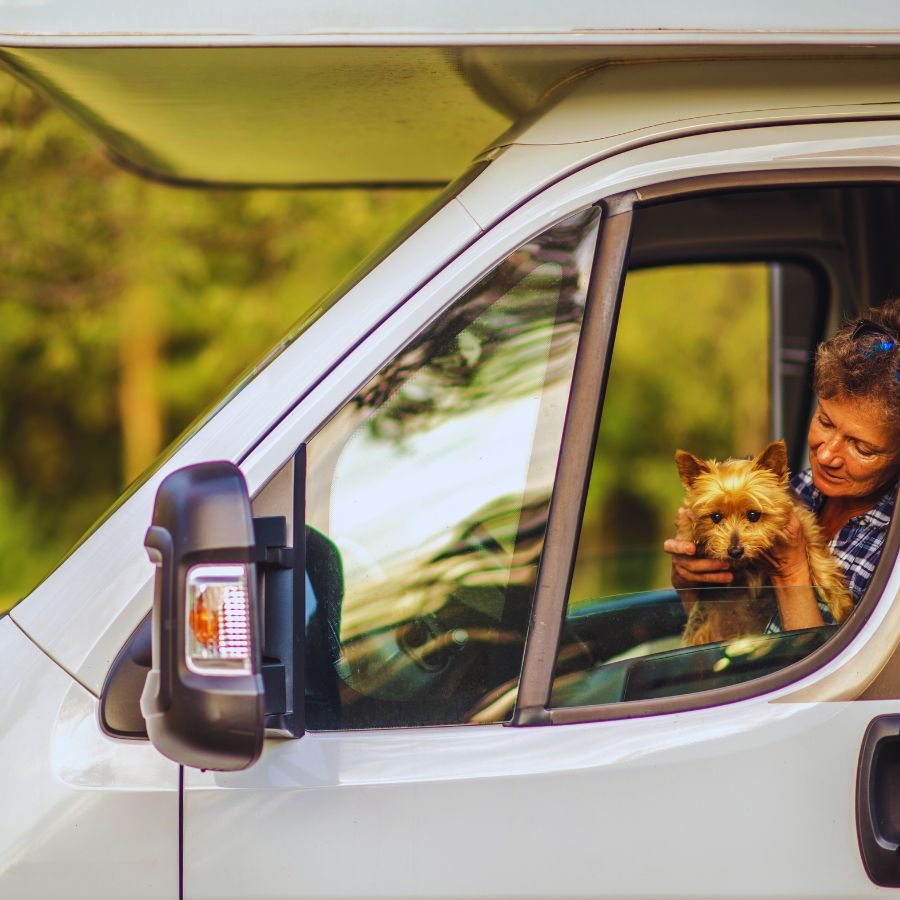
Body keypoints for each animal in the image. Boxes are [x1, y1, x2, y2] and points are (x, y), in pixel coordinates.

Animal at [676, 438, 852, 644]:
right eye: (716, 517)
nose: (735, 551)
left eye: (754, 515)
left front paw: (844, 608)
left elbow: (820, 564)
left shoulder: (805, 524)